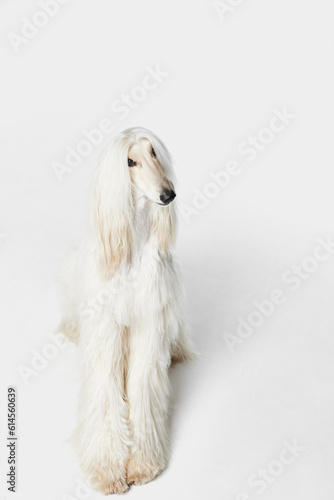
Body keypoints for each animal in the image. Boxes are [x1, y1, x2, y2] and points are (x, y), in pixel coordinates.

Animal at [57, 127, 197, 494]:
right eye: (130, 162)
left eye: (154, 153)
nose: (168, 194)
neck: (131, 249)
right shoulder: (106, 326)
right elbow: (105, 388)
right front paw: (107, 468)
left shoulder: (151, 319)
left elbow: (143, 386)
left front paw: (142, 463)